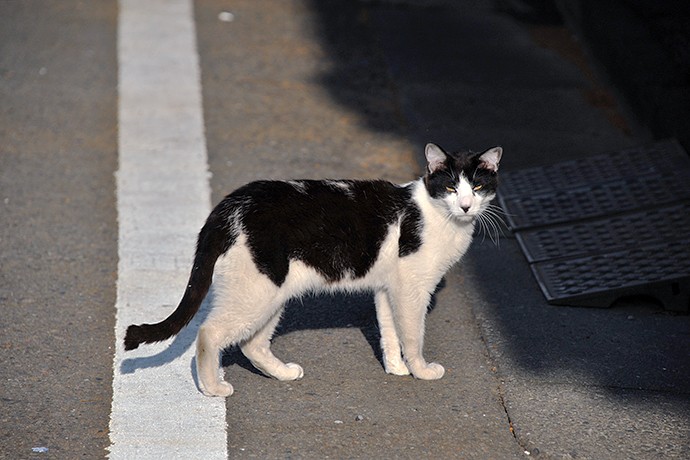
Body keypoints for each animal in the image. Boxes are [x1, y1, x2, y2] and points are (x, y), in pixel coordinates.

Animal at [123, 143, 500, 396]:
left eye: (478, 187)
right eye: (450, 187)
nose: (466, 206)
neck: (439, 217)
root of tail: (228, 206)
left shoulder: (387, 289)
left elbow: (389, 332)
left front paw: (396, 368)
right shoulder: (412, 289)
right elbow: (412, 334)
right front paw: (421, 370)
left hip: (271, 294)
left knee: (252, 344)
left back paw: (282, 373)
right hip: (258, 291)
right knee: (209, 333)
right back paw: (213, 387)